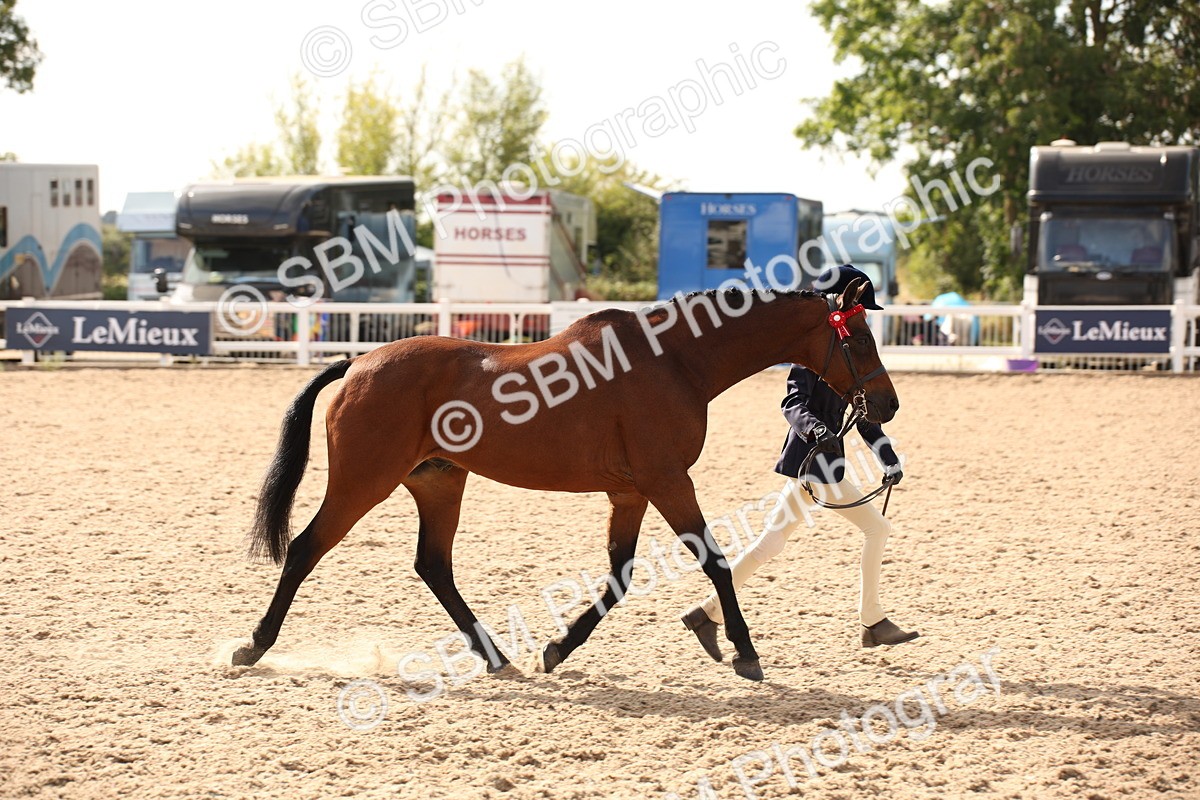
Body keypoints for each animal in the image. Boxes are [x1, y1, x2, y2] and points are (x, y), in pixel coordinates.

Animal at [231, 277, 897, 682]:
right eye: (860, 338)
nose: (887, 405)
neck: (674, 361)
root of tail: (360, 362)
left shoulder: (631, 491)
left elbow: (621, 575)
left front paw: (557, 647)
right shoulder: (667, 481)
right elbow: (714, 561)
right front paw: (745, 652)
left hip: (439, 482)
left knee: (433, 565)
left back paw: (497, 656)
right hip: (362, 482)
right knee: (306, 548)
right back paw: (253, 646)